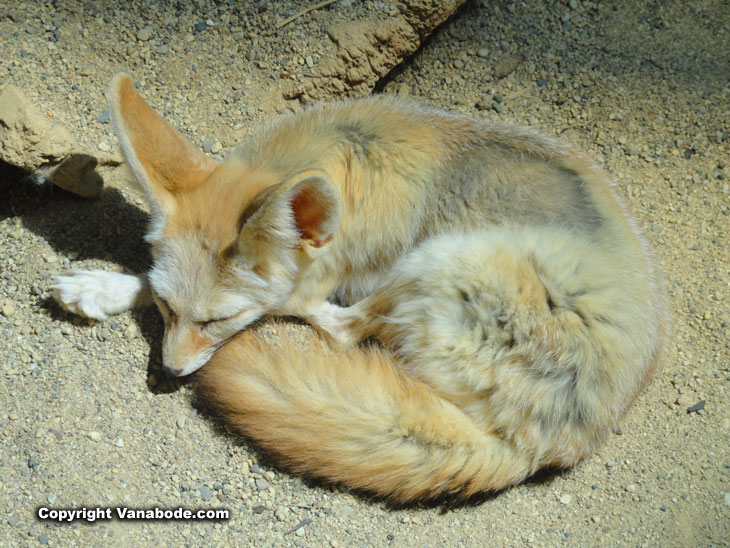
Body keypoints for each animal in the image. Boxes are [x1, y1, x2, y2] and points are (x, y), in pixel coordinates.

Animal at [54, 73, 668, 502]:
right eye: (165, 309)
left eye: (218, 321)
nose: (169, 372)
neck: (343, 161)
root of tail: (541, 443)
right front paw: (103, 286)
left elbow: (292, 302)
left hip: (448, 256)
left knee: (339, 327)